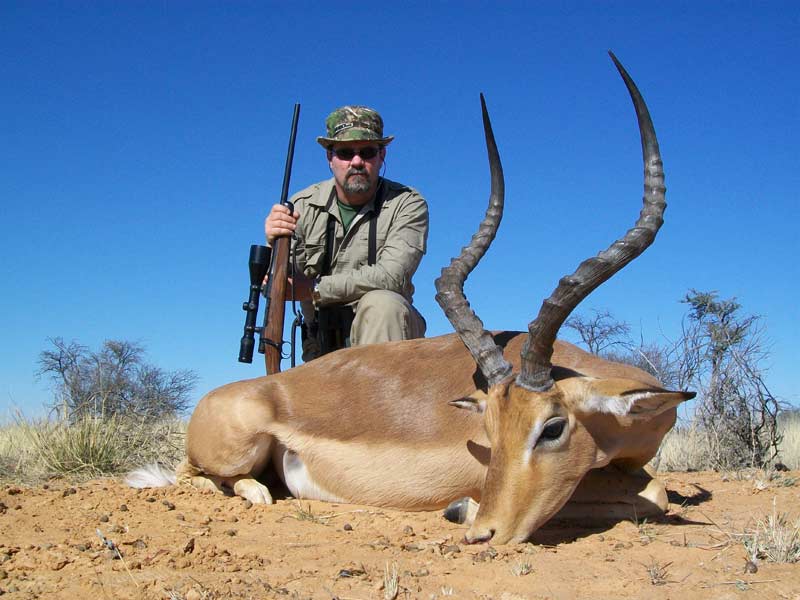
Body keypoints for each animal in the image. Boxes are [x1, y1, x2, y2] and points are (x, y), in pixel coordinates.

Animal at [128, 53, 694, 545]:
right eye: (489, 429)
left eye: (552, 428)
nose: (483, 534)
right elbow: (655, 494)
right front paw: (462, 506)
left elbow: (657, 490)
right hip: (233, 454)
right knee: (196, 477)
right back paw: (255, 493)